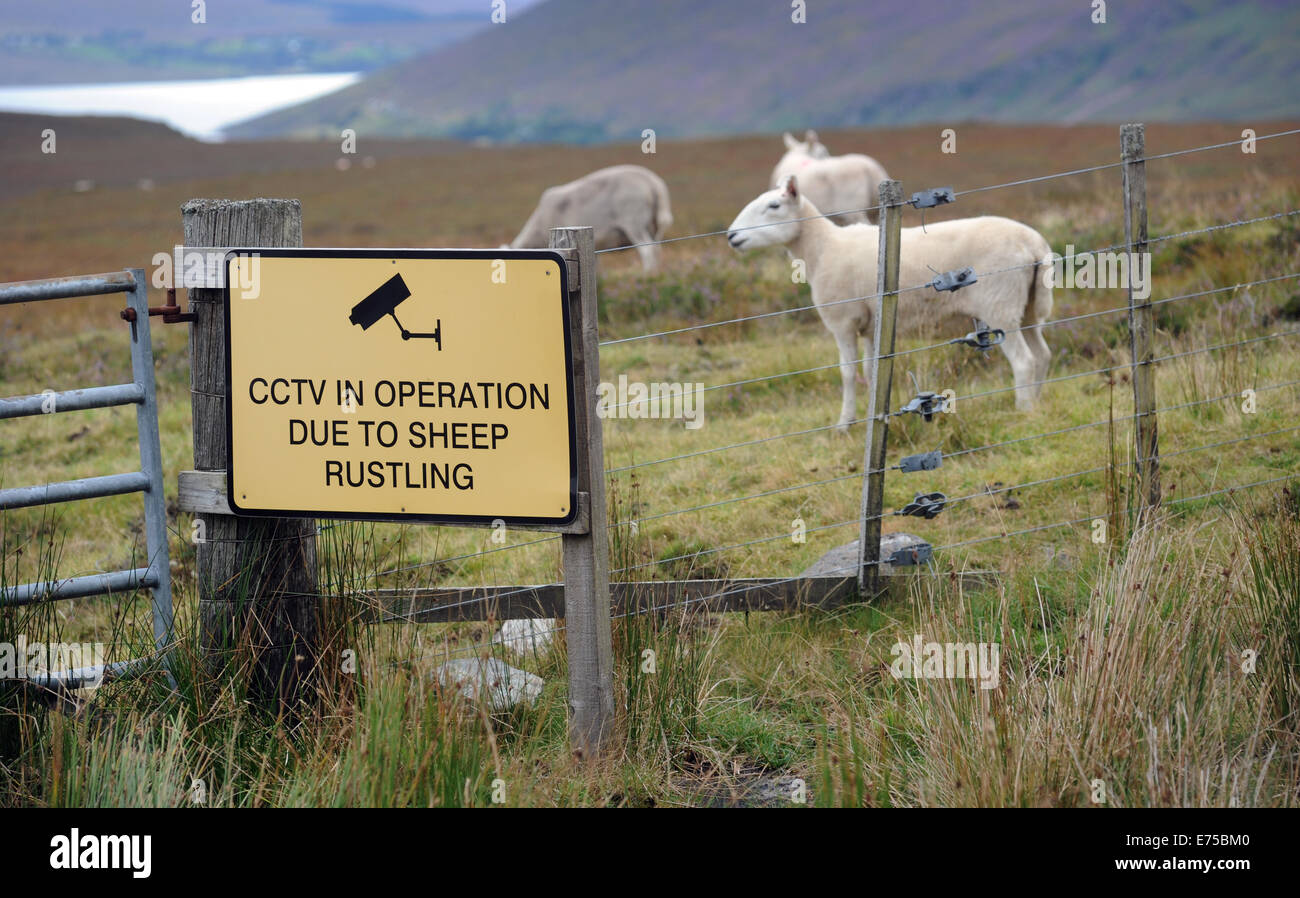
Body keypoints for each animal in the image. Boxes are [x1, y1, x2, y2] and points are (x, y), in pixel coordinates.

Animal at [504, 163, 676, 271]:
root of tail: (653, 184)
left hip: (634, 222)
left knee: (647, 251)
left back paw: (646, 274)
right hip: (654, 226)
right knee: (656, 249)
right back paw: (656, 273)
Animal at [733, 176, 1055, 431]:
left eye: (774, 206)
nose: (732, 236)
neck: (821, 249)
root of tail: (1034, 243)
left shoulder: (843, 321)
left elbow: (848, 373)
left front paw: (844, 423)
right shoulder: (868, 325)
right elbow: (869, 372)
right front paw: (872, 417)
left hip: (999, 304)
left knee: (1024, 361)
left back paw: (1023, 409)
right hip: (1027, 307)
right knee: (1042, 355)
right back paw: (1037, 401)